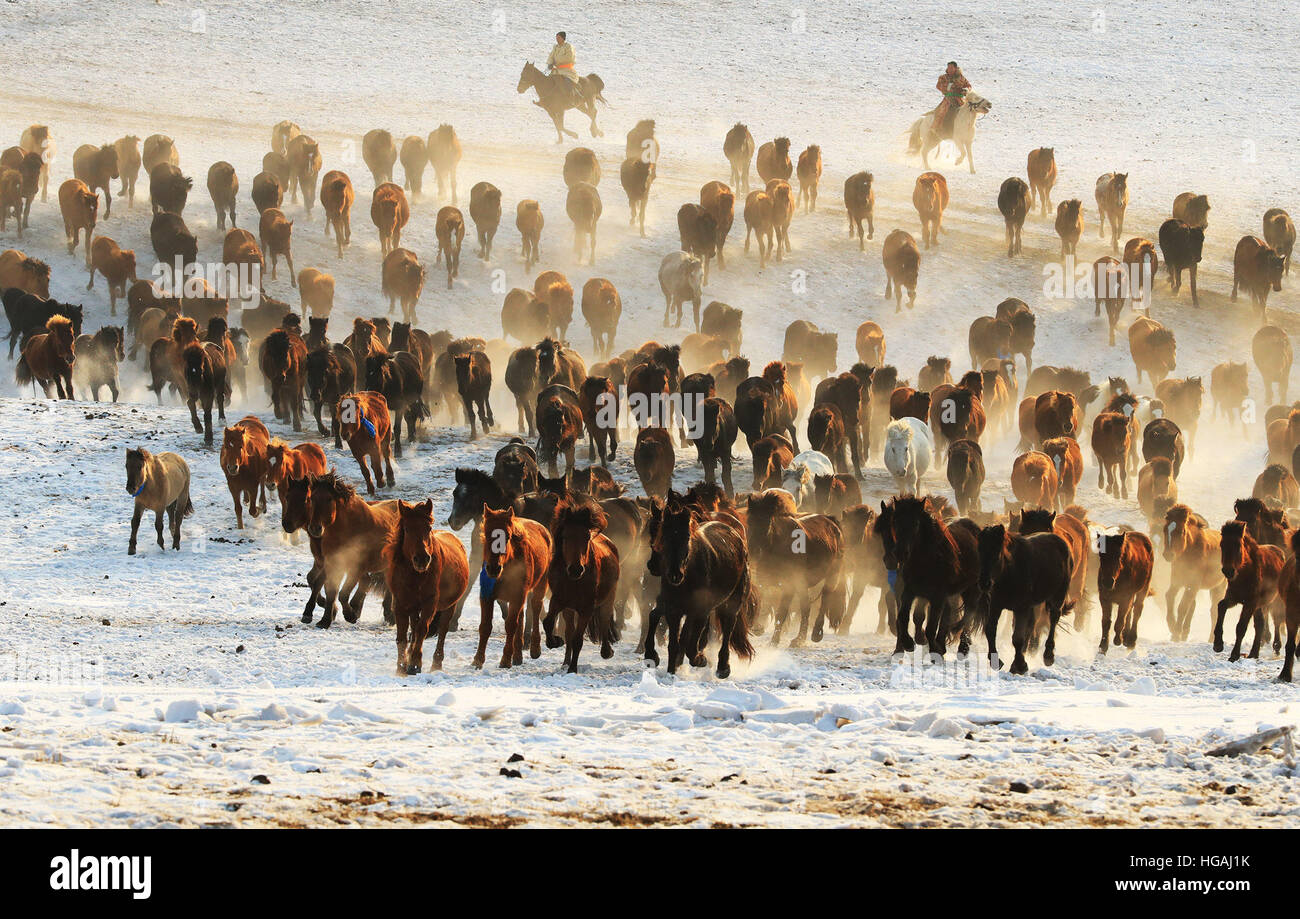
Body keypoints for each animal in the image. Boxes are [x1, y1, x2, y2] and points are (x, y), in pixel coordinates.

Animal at [384, 504, 473, 675]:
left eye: (429, 528)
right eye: (407, 529)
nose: (422, 559)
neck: (414, 575)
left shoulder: (429, 604)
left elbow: (421, 630)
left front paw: (414, 664)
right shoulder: (400, 604)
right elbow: (402, 636)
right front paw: (401, 667)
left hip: (449, 606)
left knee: (442, 631)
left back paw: (436, 665)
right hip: (413, 607)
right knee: (414, 627)